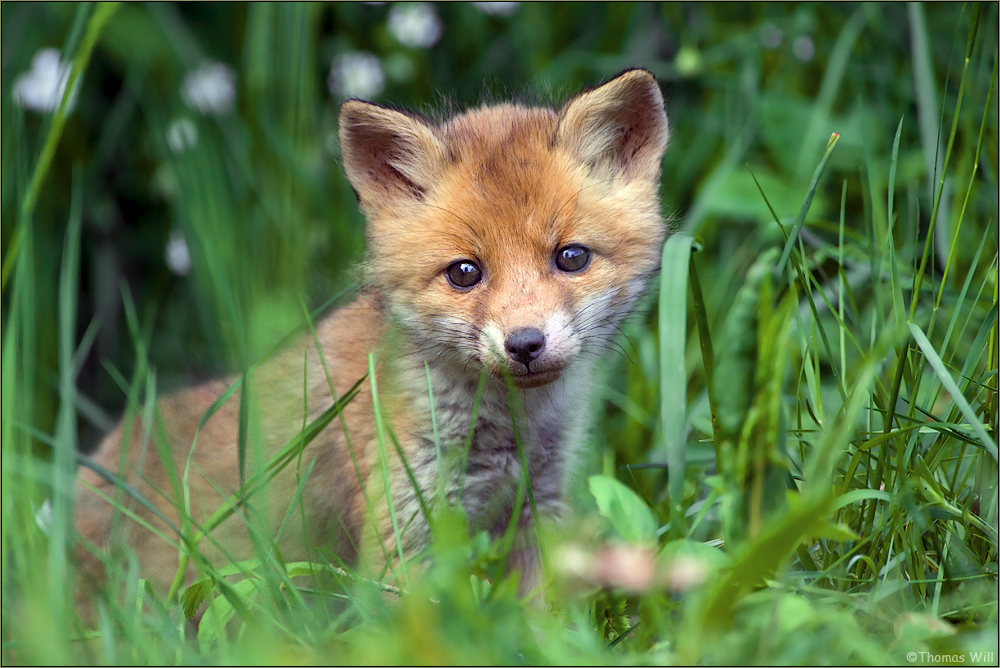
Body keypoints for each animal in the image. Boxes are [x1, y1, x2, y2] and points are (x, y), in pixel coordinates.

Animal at [74, 68, 668, 604]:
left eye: (570, 257)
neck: (508, 435)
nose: (524, 344)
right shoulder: (402, 532)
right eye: (464, 272)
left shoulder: (538, 509)